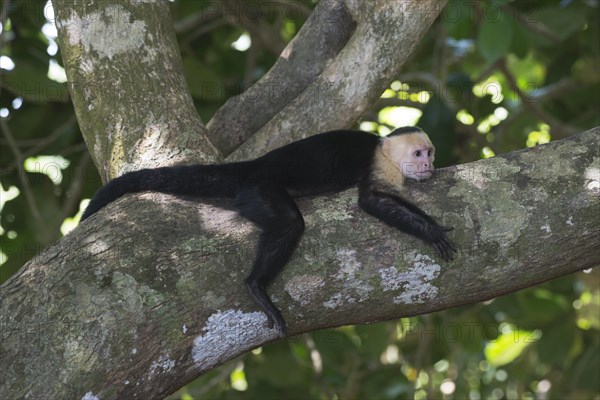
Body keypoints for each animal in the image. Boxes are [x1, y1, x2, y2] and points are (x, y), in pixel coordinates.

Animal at [79, 126, 454, 336]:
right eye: (418, 153)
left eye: (430, 153)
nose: (428, 164)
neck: (384, 153)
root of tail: (253, 165)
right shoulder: (379, 166)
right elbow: (371, 201)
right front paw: (430, 230)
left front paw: (431, 222)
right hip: (260, 187)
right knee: (290, 223)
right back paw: (256, 286)